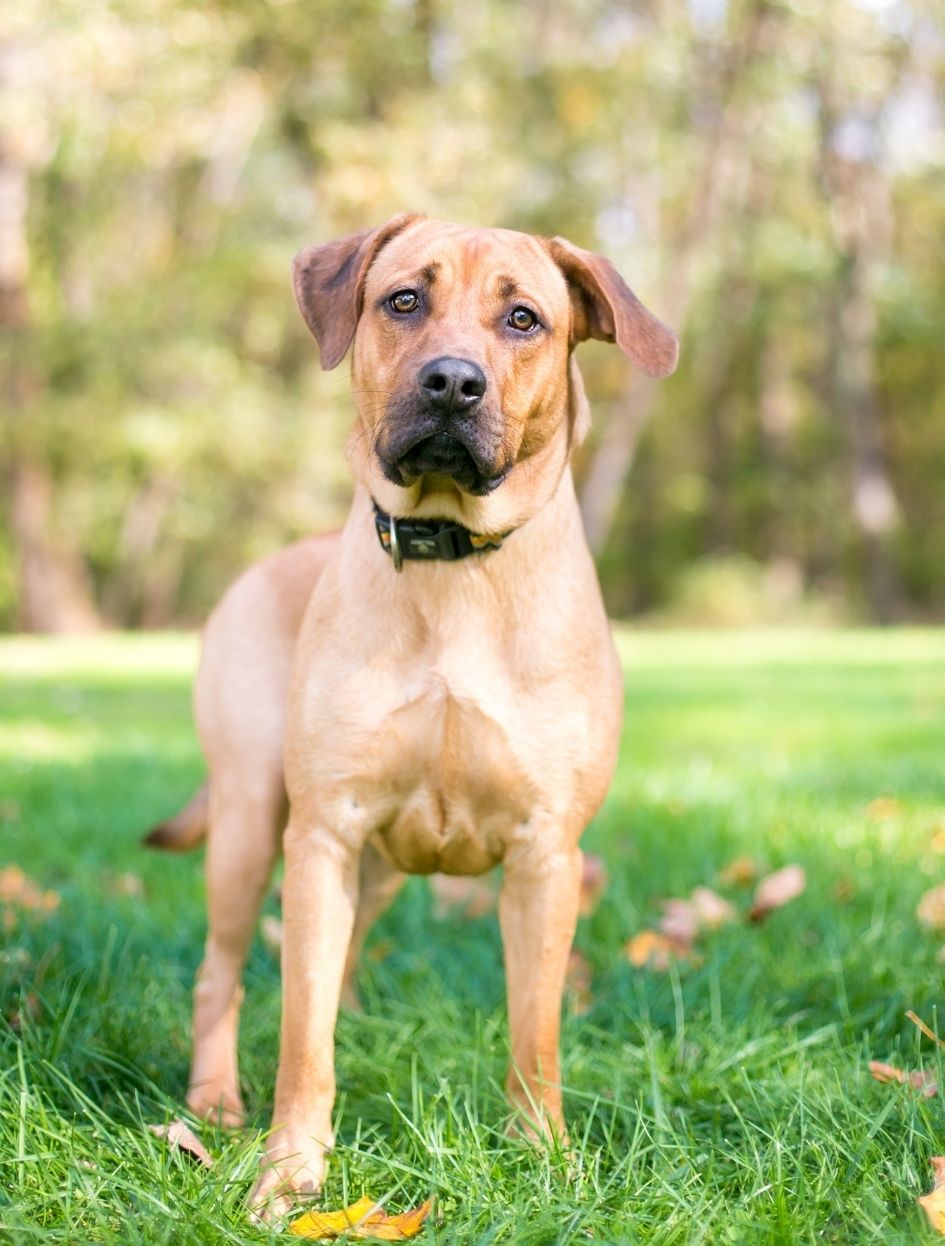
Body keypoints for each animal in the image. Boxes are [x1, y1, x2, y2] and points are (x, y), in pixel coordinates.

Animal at [148, 214, 678, 1216]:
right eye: (403, 301)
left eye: (523, 318)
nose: (452, 382)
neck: (454, 558)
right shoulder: (321, 835)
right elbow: (300, 1038)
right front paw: (290, 1172)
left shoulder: (545, 856)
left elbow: (534, 1034)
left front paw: (544, 1157)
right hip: (250, 822)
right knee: (220, 977)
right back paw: (214, 1101)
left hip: (377, 868)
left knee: (342, 961)